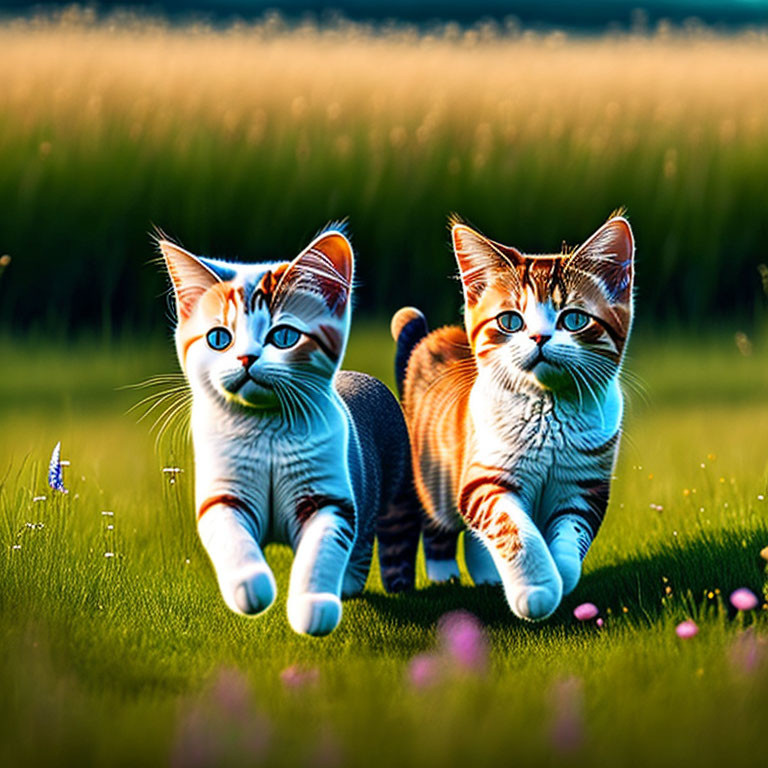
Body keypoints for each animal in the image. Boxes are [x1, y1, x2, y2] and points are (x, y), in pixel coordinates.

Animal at [158, 226, 416, 636]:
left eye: (283, 337)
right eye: (219, 338)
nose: (246, 358)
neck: (267, 434)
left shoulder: (330, 498)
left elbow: (321, 551)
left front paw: (314, 606)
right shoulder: (224, 491)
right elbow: (231, 536)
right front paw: (251, 587)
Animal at [392, 213, 632, 620]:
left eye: (574, 320)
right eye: (510, 321)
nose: (539, 337)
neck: (549, 414)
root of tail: (432, 337)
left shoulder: (584, 487)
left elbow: (571, 537)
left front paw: (561, 573)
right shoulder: (483, 477)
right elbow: (512, 528)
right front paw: (536, 588)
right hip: (433, 475)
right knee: (437, 522)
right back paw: (443, 574)